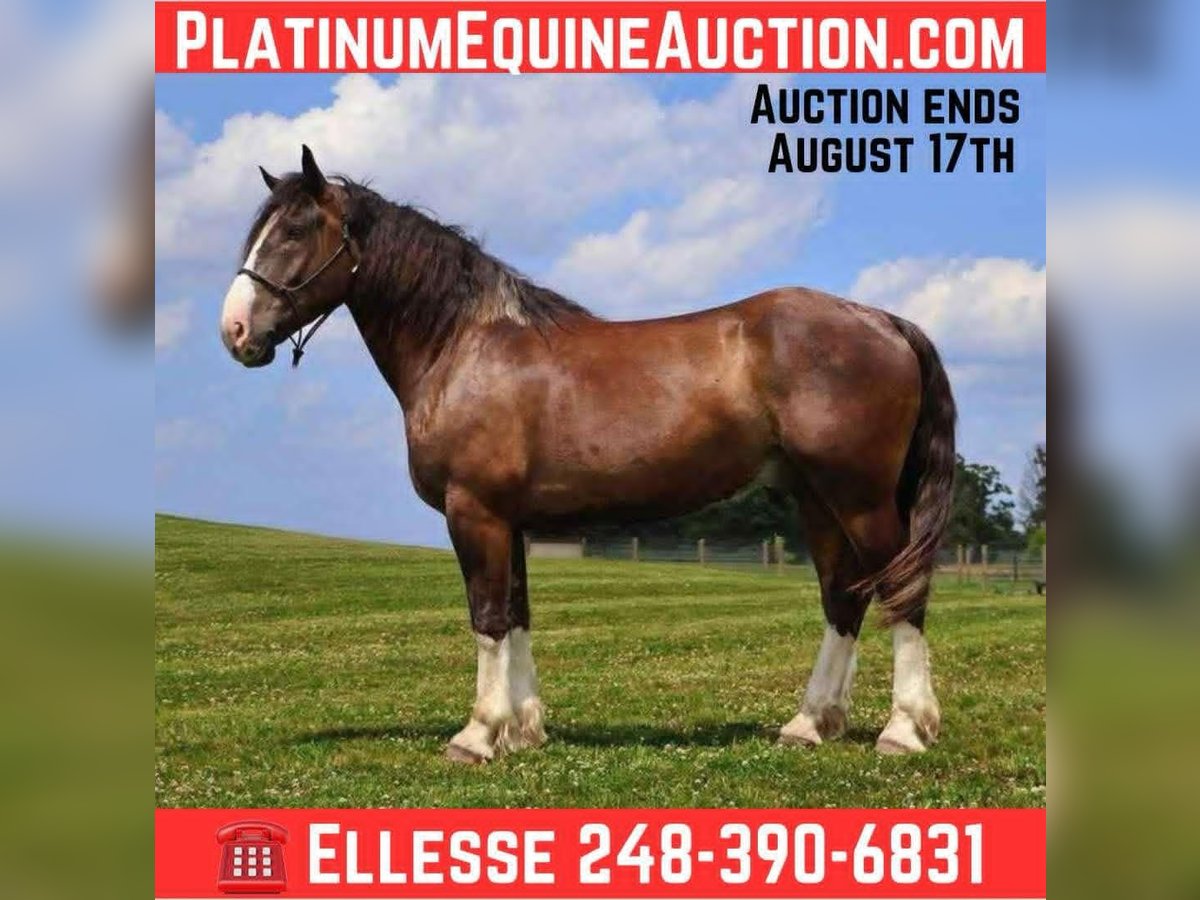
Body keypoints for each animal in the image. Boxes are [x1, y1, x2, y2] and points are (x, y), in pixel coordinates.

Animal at [219, 146, 956, 764]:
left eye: (294, 231)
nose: (235, 330)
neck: (466, 345)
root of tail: (883, 320)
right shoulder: (507, 521)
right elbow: (516, 615)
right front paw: (522, 730)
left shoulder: (475, 514)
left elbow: (487, 617)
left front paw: (477, 735)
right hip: (817, 499)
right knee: (843, 599)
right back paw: (810, 724)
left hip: (859, 497)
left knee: (902, 590)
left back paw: (903, 730)